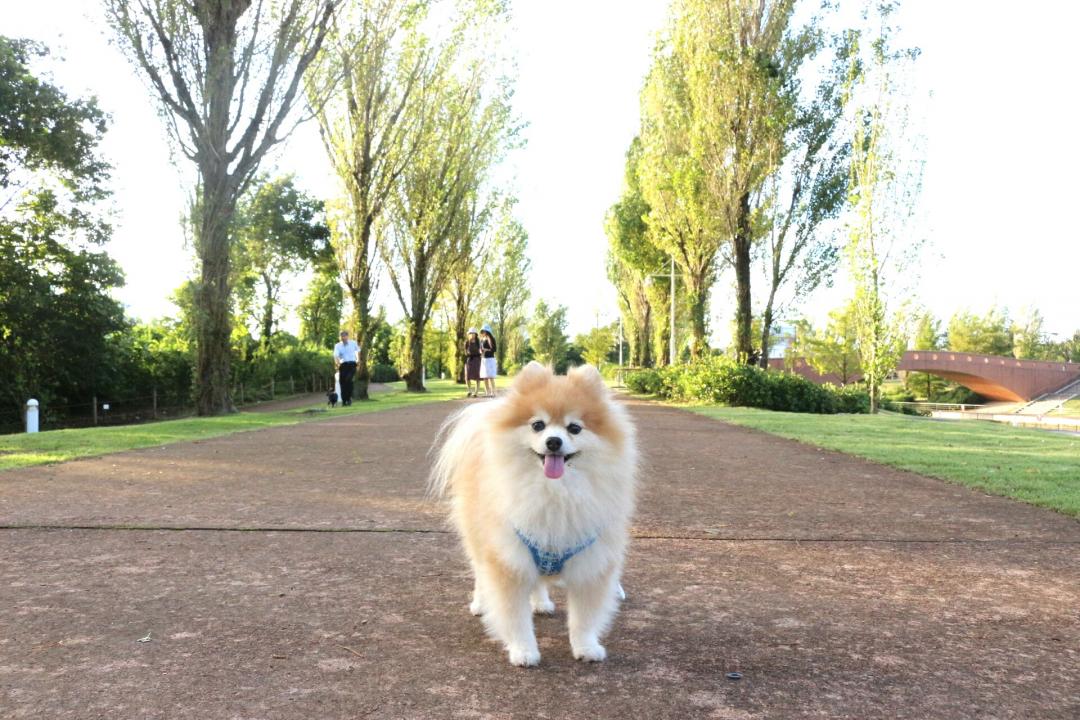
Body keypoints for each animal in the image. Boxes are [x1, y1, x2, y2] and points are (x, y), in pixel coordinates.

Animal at [427, 362, 635, 669]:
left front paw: (586, 647)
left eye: (574, 428)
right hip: (479, 539)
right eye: (538, 425)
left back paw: (541, 603)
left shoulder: (591, 564)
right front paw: (523, 651)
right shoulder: (508, 560)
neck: (555, 492)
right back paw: (480, 603)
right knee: (479, 573)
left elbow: (584, 618)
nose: (553, 442)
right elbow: (515, 617)